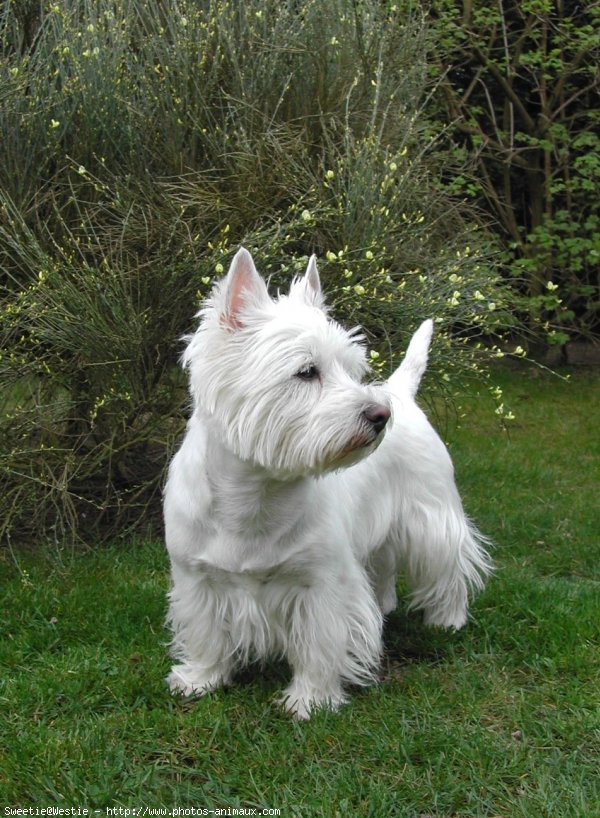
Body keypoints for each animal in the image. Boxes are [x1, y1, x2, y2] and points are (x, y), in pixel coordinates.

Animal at [163, 245, 488, 716]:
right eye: (306, 371)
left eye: (352, 370)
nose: (380, 415)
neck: (254, 495)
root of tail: (401, 393)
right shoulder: (196, 576)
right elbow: (206, 632)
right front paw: (200, 679)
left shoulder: (322, 583)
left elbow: (319, 642)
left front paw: (310, 700)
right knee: (384, 568)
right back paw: (386, 604)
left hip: (430, 513)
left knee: (449, 564)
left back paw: (448, 619)